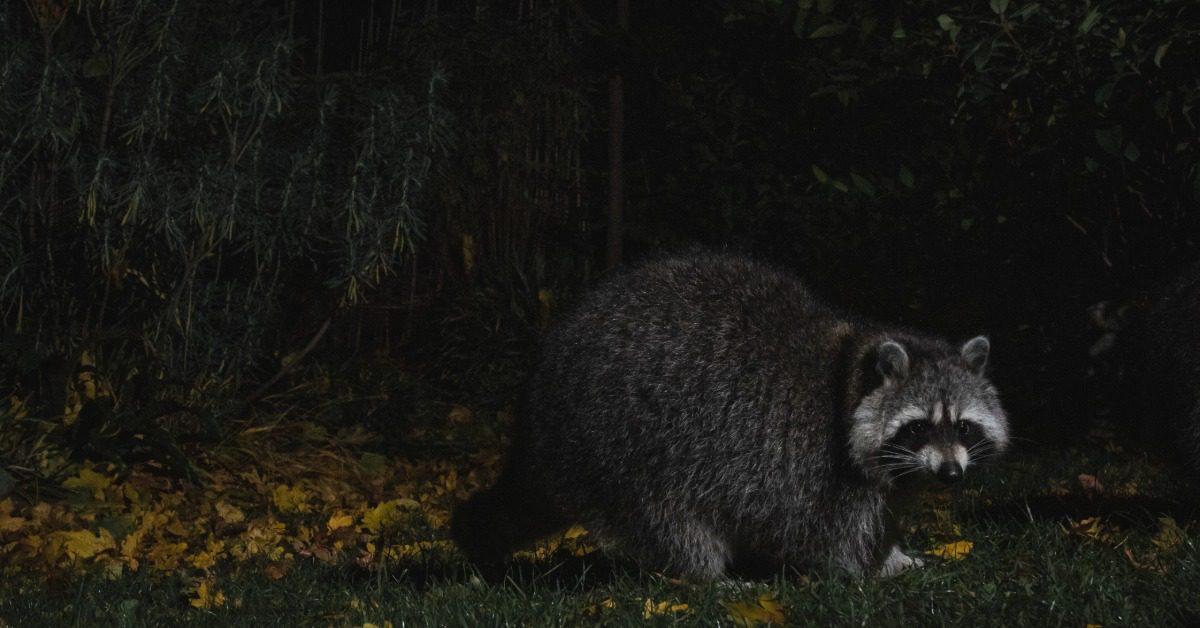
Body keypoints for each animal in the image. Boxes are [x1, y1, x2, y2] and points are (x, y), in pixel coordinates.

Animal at [452, 251, 1010, 580]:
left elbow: (885, 513)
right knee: (668, 519)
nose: (951, 474)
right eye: (918, 426)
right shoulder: (812, 460)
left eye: (963, 426)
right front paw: (864, 573)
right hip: (621, 437)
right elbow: (831, 531)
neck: (853, 373)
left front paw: (891, 552)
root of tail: (540, 398)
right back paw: (706, 575)